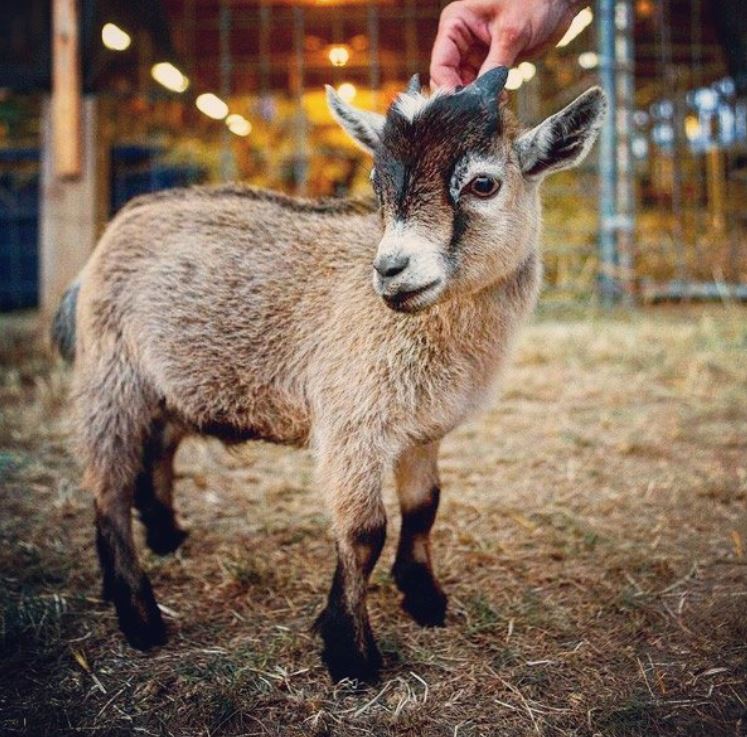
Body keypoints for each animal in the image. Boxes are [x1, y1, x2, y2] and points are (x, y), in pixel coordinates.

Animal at [54, 67, 608, 680]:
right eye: (377, 182)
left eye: (483, 184)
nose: (390, 270)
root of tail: (114, 230)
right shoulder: (351, 420)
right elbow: (364, 531)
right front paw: (352, 652)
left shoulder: (425, 427)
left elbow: (424, 505)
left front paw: (423, 596)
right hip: (110, 373)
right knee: (108, 485)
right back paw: (140, 616)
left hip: (169, 380)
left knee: (160, 444)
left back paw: (167, 534)